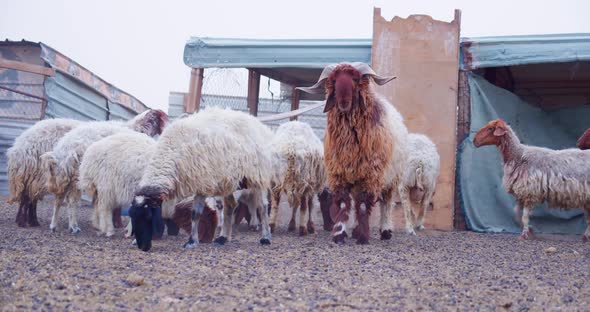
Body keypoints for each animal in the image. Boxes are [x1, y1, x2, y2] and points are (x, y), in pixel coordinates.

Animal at [128, 106, 274, 252]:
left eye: (148, 217)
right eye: (133, 217)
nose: (143, 247)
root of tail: (253, 120)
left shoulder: (203, 182)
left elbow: (195, 213)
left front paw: (192, 241)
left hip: (257, 175)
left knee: (262, 207)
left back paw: (266, 237)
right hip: (228, 179)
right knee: (231, 205)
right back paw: (223, 238)